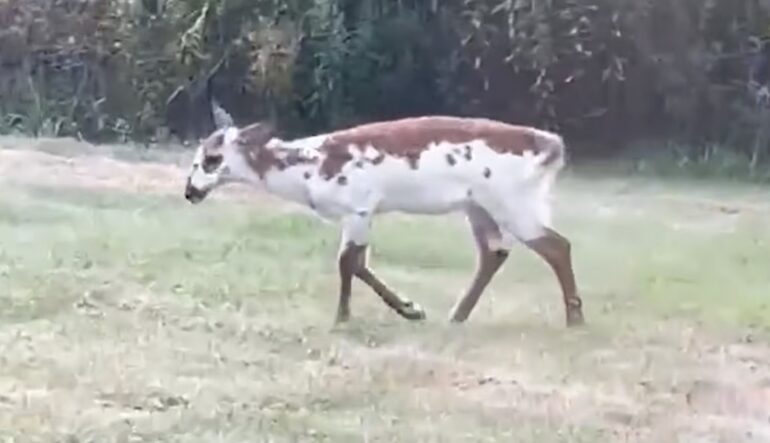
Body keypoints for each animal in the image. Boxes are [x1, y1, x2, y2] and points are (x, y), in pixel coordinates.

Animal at [183, 115, 585, 327]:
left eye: (213, 159)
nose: (190, 191)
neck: (309, 169)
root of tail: (552, 147)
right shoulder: (359, 212)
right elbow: (357, 263)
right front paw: (410, 309)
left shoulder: (358, 205)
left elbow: (348, 262)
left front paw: (343, 318)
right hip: (479, 206)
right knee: (495, 252)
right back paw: (457, 315)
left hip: (513, 201)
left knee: (557, 245)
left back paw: (574, 318)